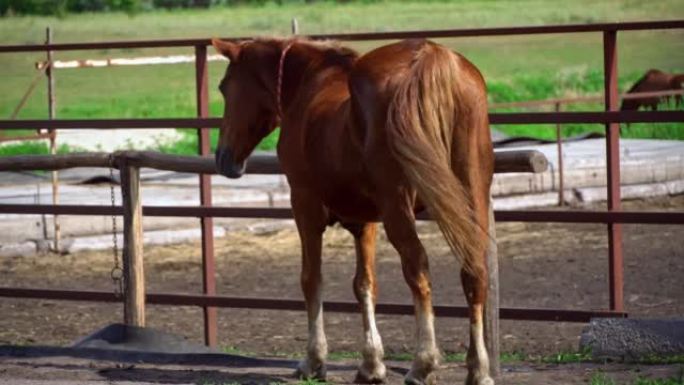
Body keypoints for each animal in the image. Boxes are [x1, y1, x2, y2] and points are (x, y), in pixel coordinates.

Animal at [212, 36, 492, 384]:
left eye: (224, 87)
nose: (223, 158)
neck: (309, 83)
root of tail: (429, 55)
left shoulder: (304, 206)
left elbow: (311, 279)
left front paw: (314, 360)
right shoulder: (365, 221)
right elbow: (364, 284)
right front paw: (371, 365)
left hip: (398, 208)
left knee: (418, 270)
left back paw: (423, 364)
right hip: (472, 195)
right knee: (474, 272)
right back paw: (478, 369)